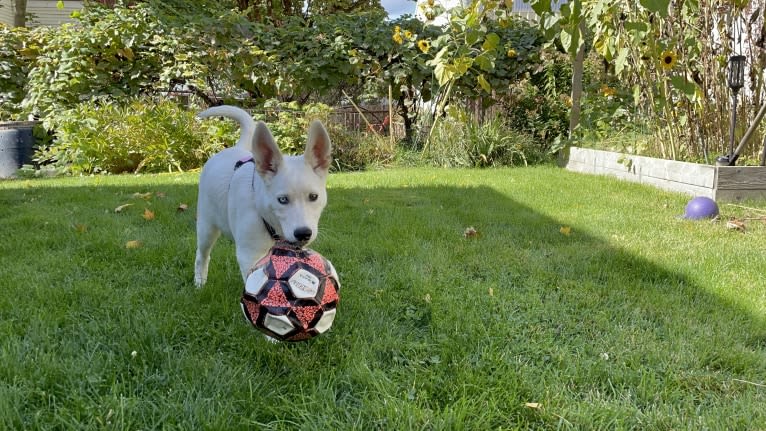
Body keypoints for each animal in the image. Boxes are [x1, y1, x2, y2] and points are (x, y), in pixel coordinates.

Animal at [194, 105, 332, 288]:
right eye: (282, 200)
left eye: (313, 196)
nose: (303, 233)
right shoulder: (249, 255)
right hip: (206, 226)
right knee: (202, 254)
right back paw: (199, 282)